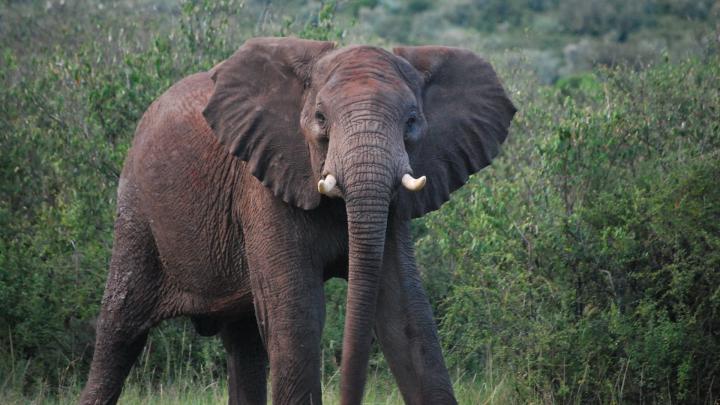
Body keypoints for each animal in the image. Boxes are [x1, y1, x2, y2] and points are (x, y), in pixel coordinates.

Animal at [79, 37, 516, 405]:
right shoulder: (263, 185)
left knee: (244, 343)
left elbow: (405, 315)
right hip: (137, 211)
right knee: (119, 332)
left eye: (411, 122)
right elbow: (298, 318)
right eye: (321, 118)